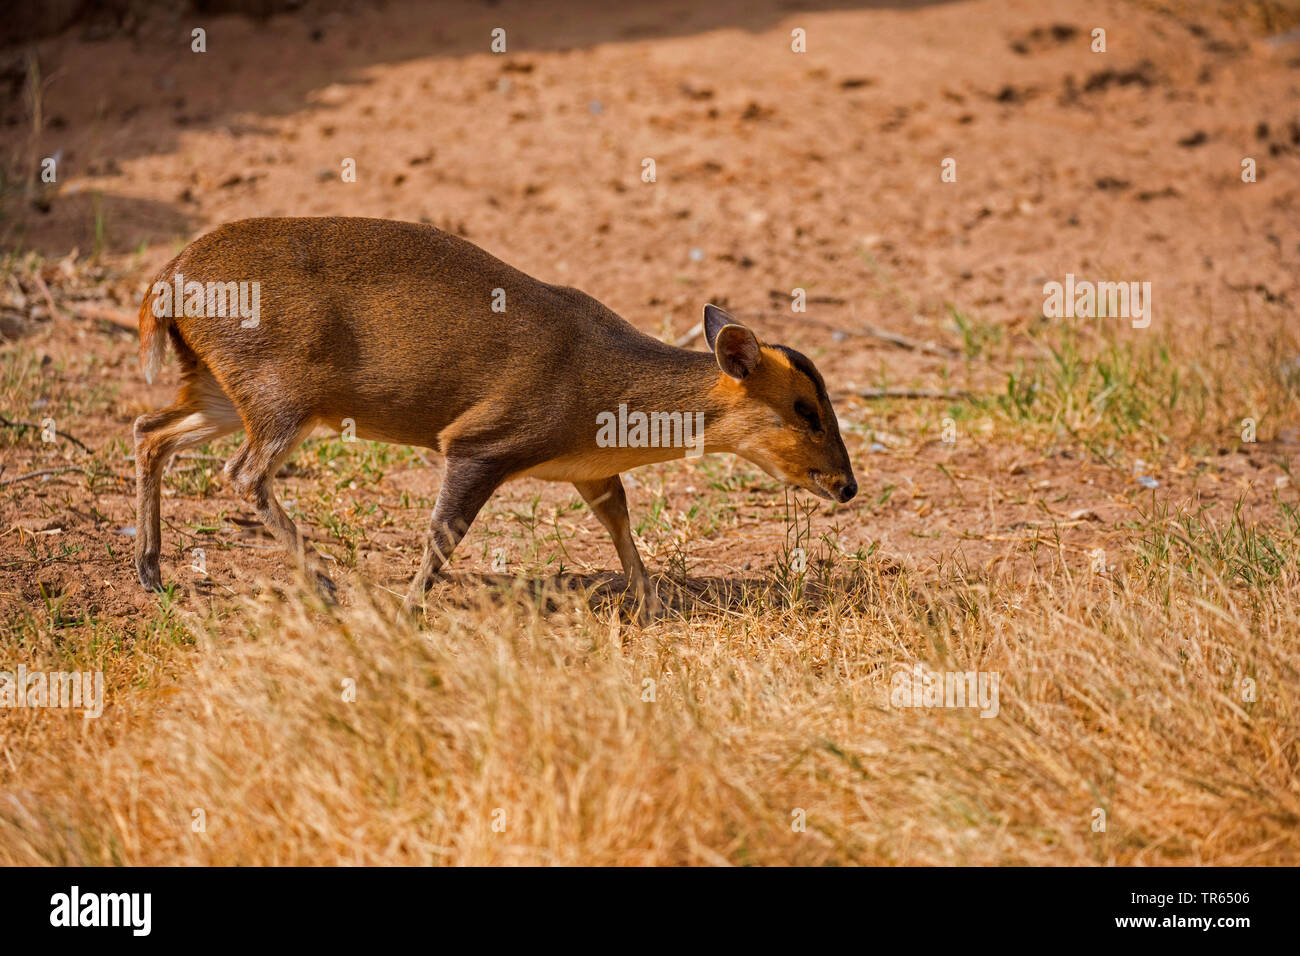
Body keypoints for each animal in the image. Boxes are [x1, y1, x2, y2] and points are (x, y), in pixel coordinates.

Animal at [137, 217, 857, 621]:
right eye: (805, 410)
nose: (846, 485)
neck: (608, 390)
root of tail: (166, 281)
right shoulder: (482, 441)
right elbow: (443, 534)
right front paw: (407, 610)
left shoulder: (589, 470)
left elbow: (621, 525)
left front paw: (654, 605)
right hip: (282, 395)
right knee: (241, 473)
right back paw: (323, 581)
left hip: (223, 391)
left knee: (151, 434)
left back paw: (151, 570)